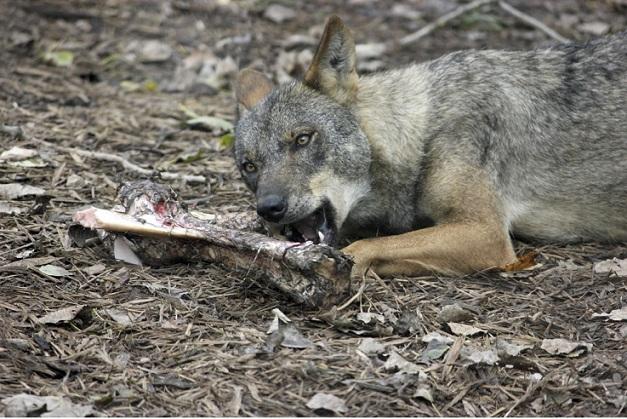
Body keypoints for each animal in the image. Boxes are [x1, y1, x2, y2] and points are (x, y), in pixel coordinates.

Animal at [232, 16, 627, 278]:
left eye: (302, 139)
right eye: (249, 166)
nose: (269, 208)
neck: (422, 132)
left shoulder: (485, 233)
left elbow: (365, 248)